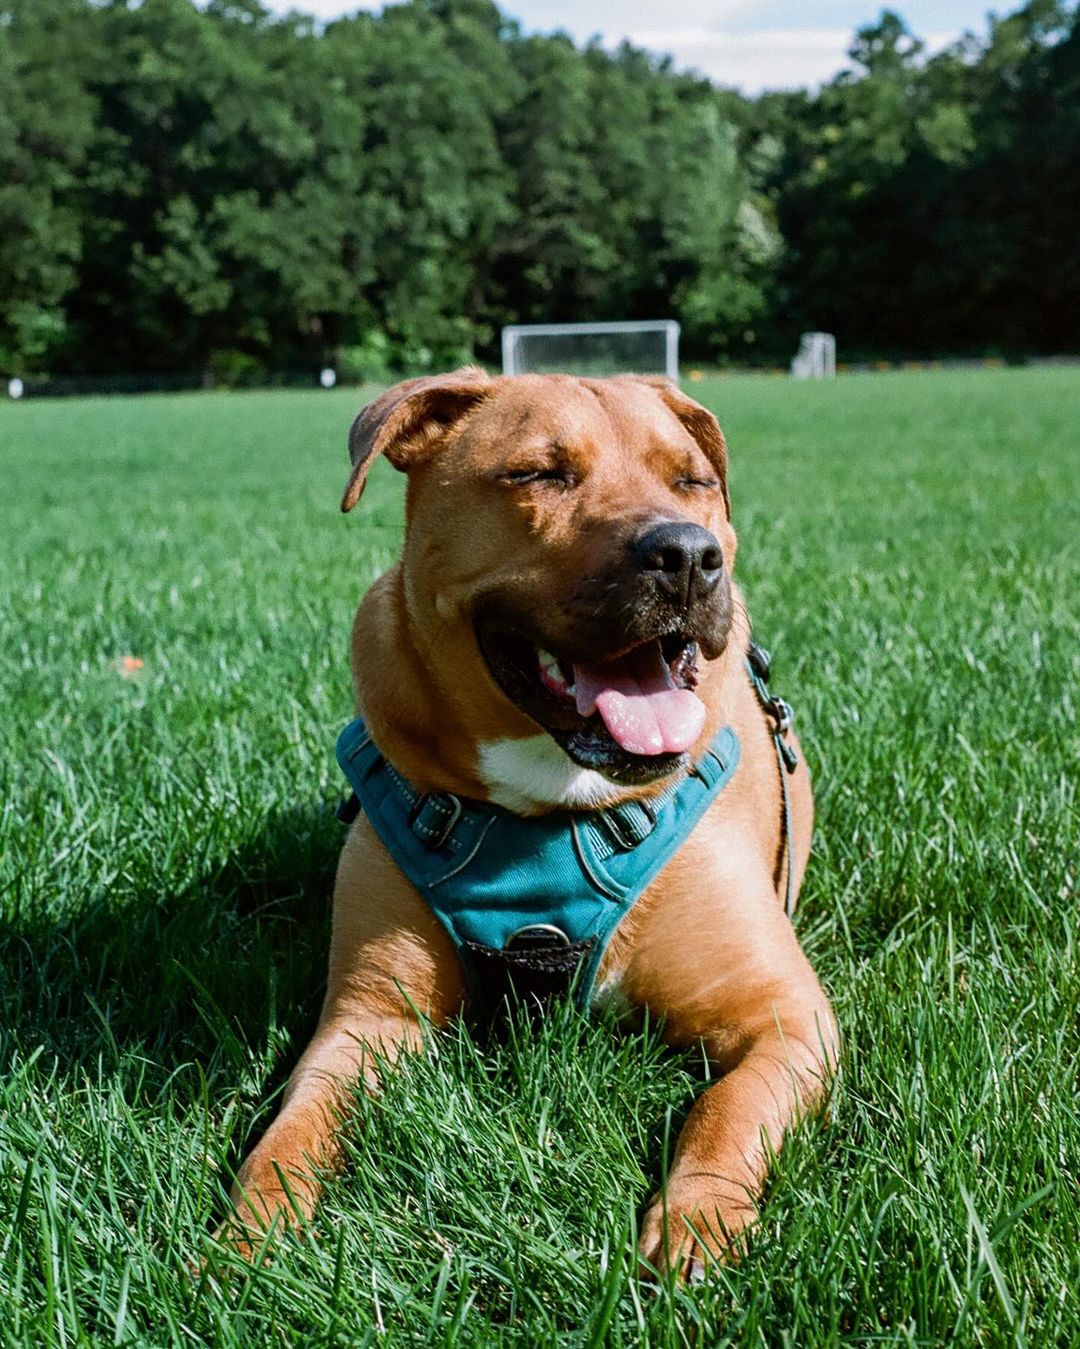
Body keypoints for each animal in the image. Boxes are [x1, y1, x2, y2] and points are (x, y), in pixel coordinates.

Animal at [221, 366, 835, 1273]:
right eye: (538, 473)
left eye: (693, 480)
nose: (690, 554)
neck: (553, 801)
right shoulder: (368, 1019)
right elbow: (295, 1128)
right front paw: (248, 1231)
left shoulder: (785, 1019)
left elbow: (728, 1108)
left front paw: (698, 1217)